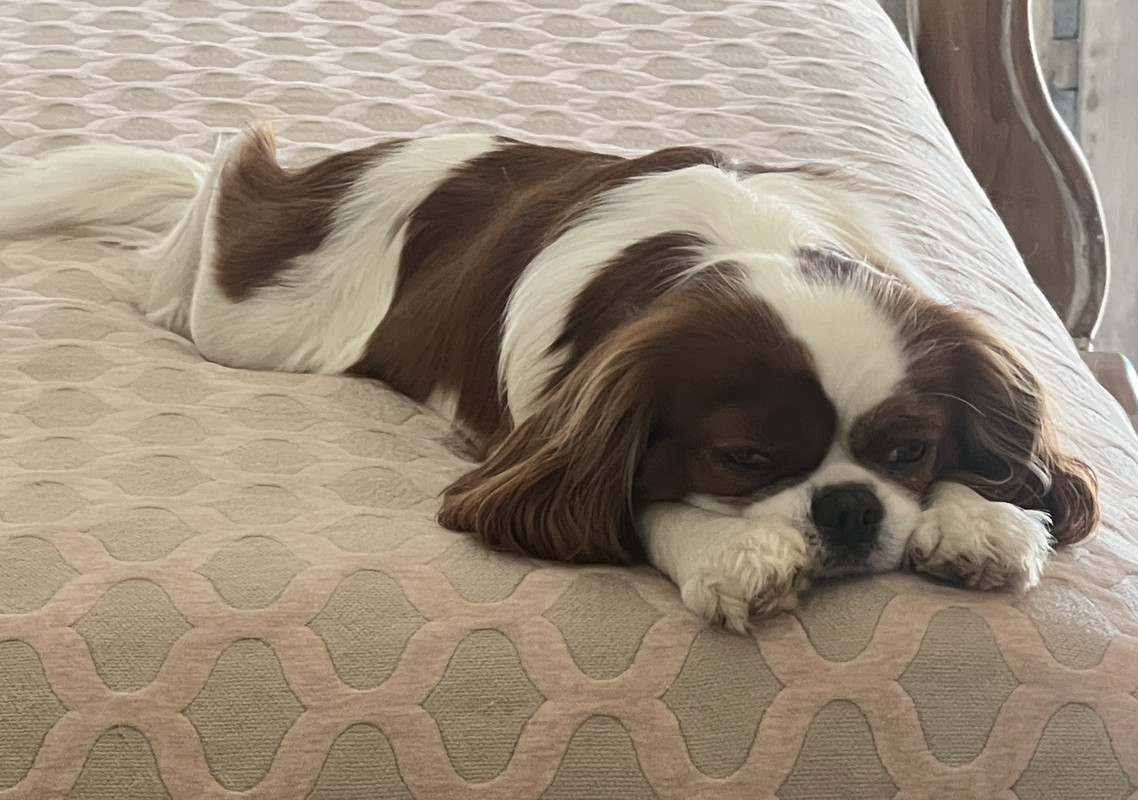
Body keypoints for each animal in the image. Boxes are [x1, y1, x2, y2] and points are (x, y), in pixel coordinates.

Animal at [0, 128, 1099, 631]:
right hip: (252, 310)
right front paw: (727, 550)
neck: (740, 249)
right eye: (745, 461)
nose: (846, 509)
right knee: (214, 191)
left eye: (906, 451)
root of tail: (351, 165)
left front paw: (977, 518)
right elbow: (625, 501)